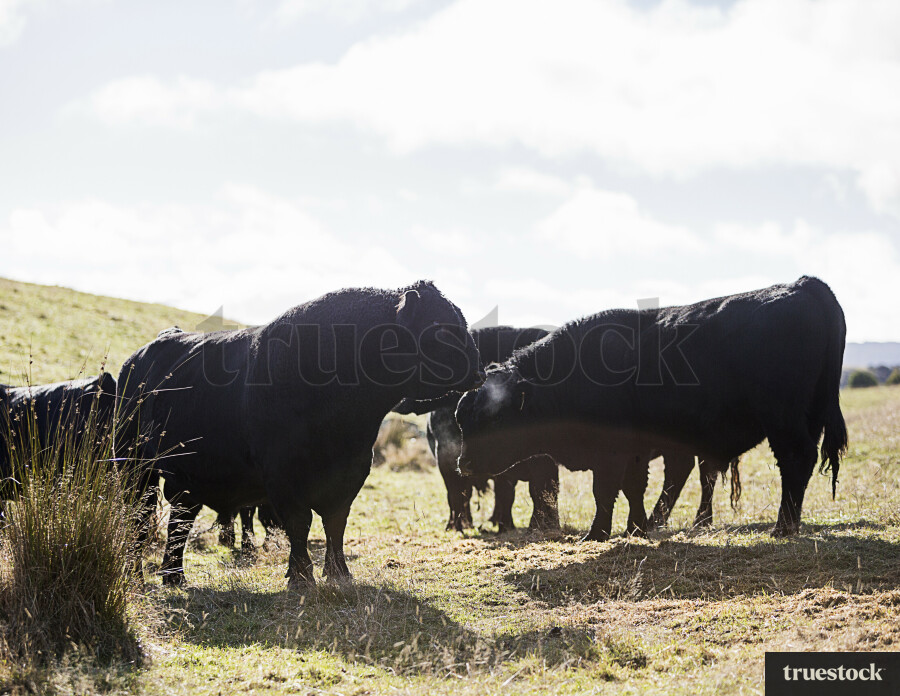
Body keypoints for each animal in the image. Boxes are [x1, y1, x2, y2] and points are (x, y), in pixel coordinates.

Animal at [117, 280, 484, 587]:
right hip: (135, 470)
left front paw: (338, 574)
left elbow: (335, 523)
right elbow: (299, 523)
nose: (480, 371)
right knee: (139, 520)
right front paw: (301, 576)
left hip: (186, 479)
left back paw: (173, 576)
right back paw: (135, 574)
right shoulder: (282, 477)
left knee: (180, 521)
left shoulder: (352, 472)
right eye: (440, 328)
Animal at [456, 277, 848, 540]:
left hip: (784, 423)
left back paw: (783, 527)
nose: (464, 464)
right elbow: (633, 488)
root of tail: (800, 285)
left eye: (494, 418)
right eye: (461, 418)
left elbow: (606, 491)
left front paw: (598, 533)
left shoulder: (610, 452)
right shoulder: (636, 451)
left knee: (795, 462)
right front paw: (636, 529)